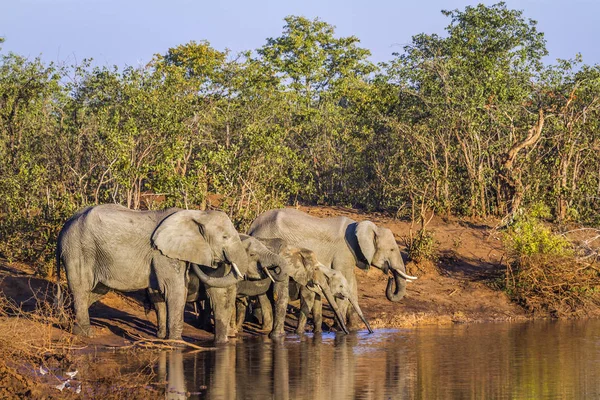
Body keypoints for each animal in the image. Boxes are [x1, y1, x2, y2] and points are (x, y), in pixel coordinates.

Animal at [56, 205, 248, 342]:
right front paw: (176, 342)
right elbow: (175, 291)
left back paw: (67, 322)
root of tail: (64, 227)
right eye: (224, 237)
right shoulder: (163, 253)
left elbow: (164, 294)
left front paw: (162, 337)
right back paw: (86, 334)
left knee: (96, 291)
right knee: (81, 289)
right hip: (78, 249)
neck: (197, 215)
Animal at [246, 209, 414, 332]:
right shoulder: (344, 251)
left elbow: (352, 283)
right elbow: (346, 279)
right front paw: (339, 328)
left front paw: (352, 328)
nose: (390, 278)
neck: (363, 226)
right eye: (392, 249)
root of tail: (252, 227)